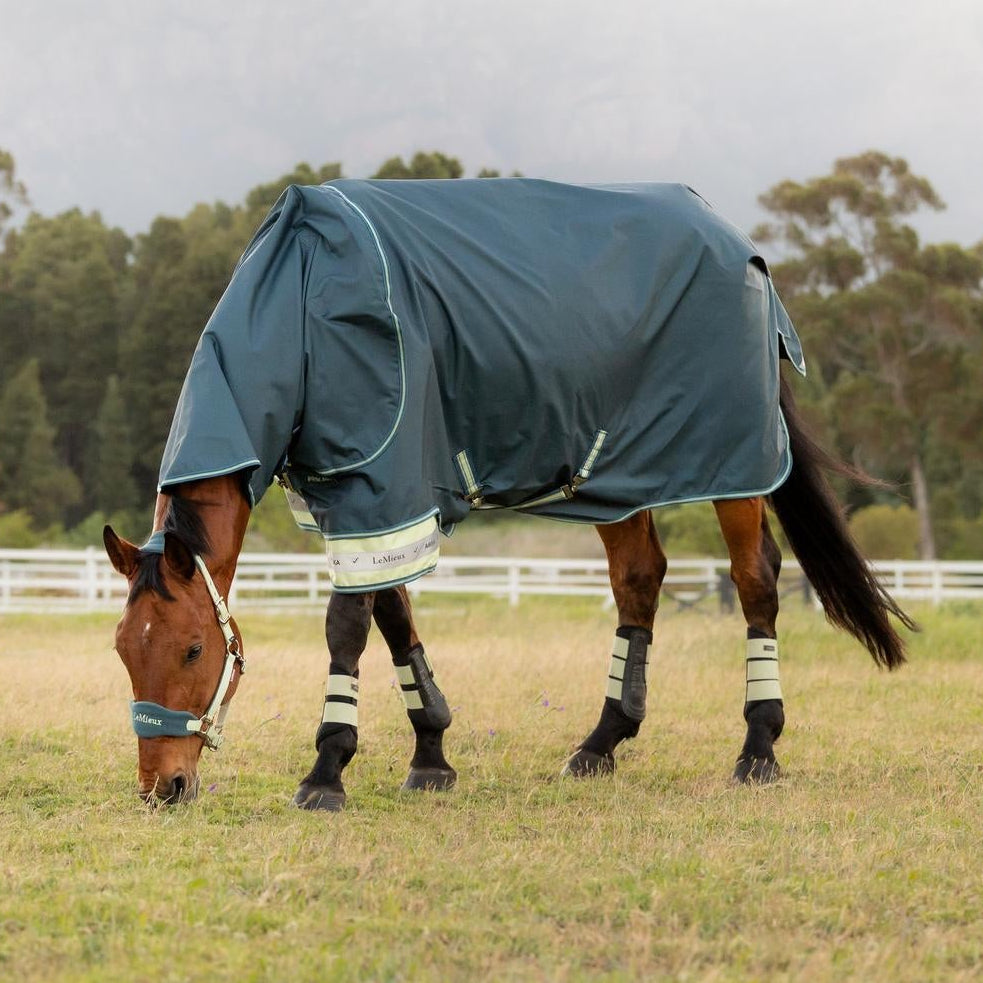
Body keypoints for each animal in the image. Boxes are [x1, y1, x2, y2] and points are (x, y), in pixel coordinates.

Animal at [103, 178, 914, 808]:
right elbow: (393, 614)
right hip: (618, 474)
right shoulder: (364, 499)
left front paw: (327, 770)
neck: (303, 300)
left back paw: (757, 749)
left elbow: (347, 627)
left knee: (755, 581)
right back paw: (601, 742)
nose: (163, 786)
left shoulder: (380, 485)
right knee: (639, 577)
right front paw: (430, 755)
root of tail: (741, 246)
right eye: (121, 648)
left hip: (733, 466)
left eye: (193, 648)